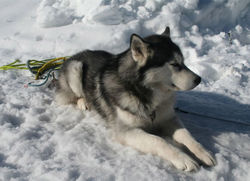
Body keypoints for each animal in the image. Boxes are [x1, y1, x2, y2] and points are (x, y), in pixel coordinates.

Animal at [55, 26, 216, 171]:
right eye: (174, 64)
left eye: (183, 62)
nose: (198, 79)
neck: (145, 94)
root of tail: (74, 55)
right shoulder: (127, 131)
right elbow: (158, 140)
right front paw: (183, 158)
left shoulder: (168, 118)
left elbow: (186, 135)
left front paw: (202, 152)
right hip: (76, 69)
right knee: (74, 96)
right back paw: (84, 102)